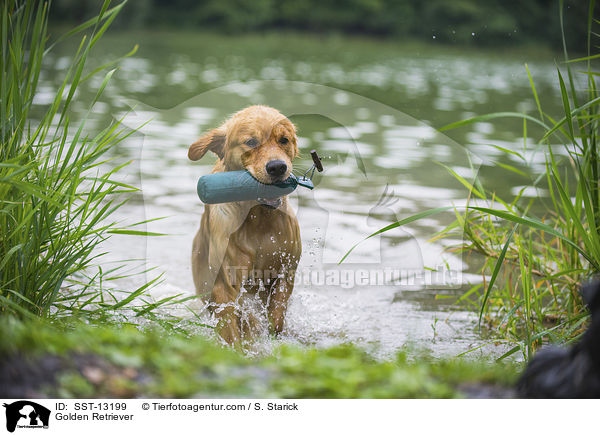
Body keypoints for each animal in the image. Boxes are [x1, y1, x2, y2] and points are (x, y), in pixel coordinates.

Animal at [188, 105, 300, 348]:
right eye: (251, 142)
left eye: (284, 140)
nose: (277, 167)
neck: (259, 220)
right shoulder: (225, 283)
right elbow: (232, 329)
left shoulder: (286, 272)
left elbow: (276, 318)